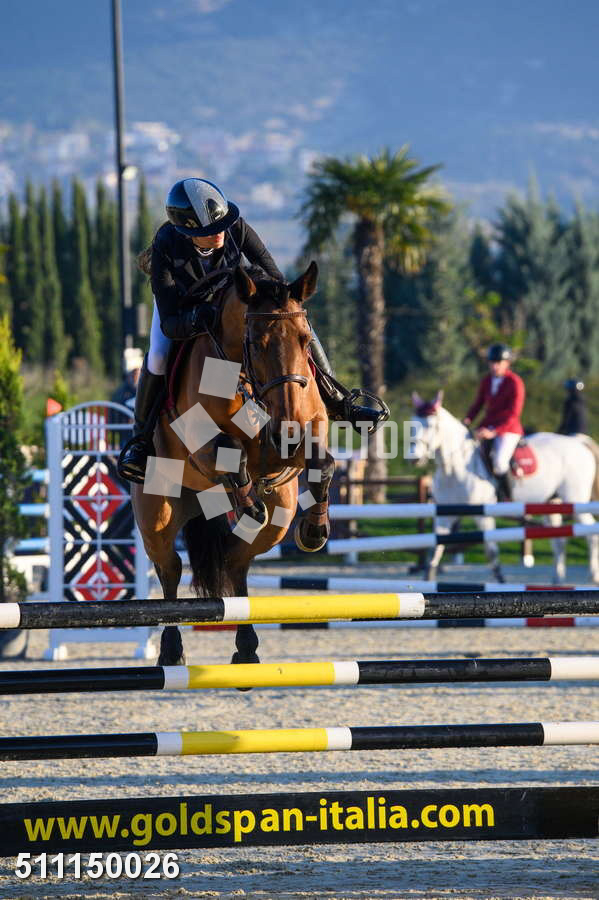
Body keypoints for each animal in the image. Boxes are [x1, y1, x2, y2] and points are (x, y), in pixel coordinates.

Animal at [132, 263, 335, 666]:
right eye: (254, 343)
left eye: (306, 341)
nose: (287, 430)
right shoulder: (201, 442)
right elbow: (231, 452)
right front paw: (248, 501)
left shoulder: (301, 435)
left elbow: (324, 463)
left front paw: (314, 531)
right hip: (156, 515)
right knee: (170, 570)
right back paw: (171, 651)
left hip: (280, 517)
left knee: (235, 562)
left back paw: (246, 648)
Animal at [409, 391, 599, 584]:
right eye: (413, 423)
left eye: (431, 425)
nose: (414, 458)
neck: (454, 469)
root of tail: (578, 442)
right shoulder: (445, 515)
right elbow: (435, 550)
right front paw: (427, 578)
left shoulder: (482, 515)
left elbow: (491, 550)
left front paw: (501, 580)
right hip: (551, 503)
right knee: (559, 540)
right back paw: (557, 579)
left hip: (574, 501)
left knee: (591, 533)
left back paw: (593, 576)